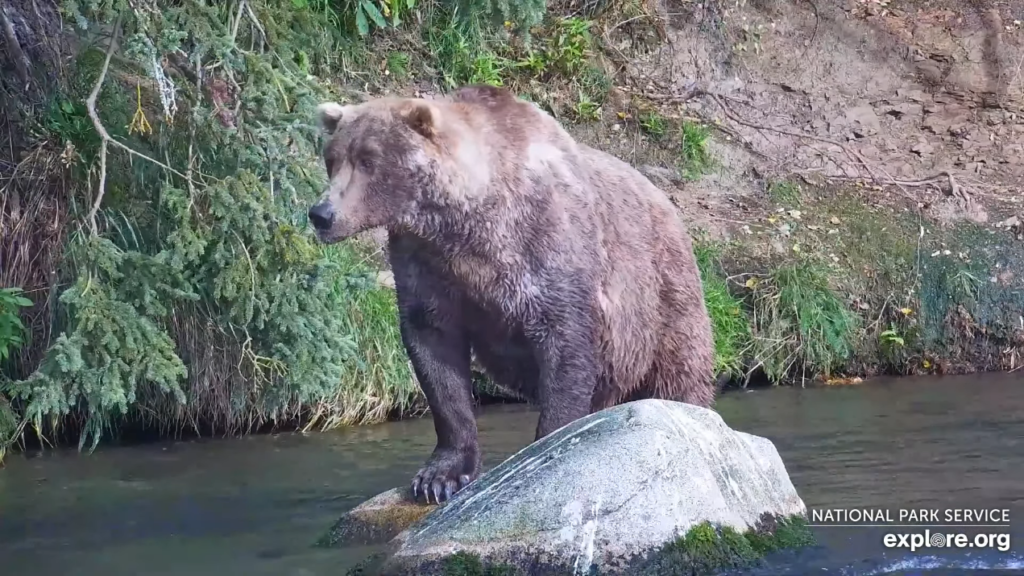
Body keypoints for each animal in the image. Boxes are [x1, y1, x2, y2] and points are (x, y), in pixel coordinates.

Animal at [307, 84, 716, 502]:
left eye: (369, 160)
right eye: (332, 158)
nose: (321, 214)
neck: (468, 224)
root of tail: (668, 204)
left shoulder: (546, 252)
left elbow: (565, 348)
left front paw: (546, 445)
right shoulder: (425, 265)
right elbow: (435, 356)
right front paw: (439, 476)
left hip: (662, 299)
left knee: (679, 375)